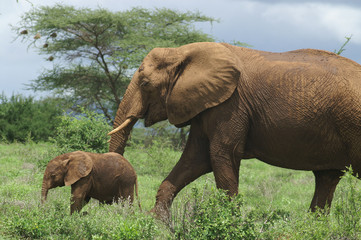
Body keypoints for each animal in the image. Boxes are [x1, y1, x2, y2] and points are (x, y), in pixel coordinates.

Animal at [108, 42, 360, 218]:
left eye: (145, 84)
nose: (132, 211)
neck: (182, 51)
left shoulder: (231, 104)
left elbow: (221, 155)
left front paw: (230, 221)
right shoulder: (208, 104)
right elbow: (195, 159)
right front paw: (157, 221)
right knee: (327, 177)